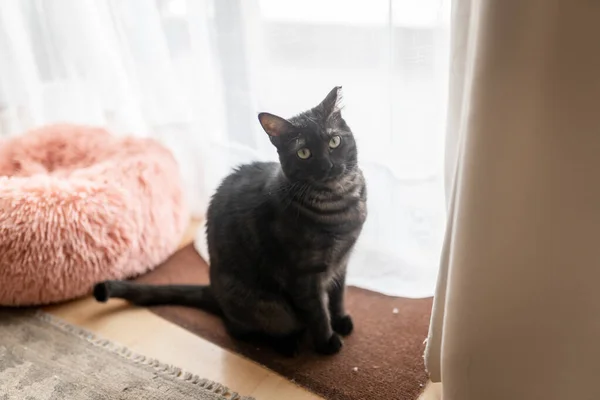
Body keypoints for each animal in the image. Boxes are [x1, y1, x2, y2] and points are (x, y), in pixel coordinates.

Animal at [94, 87, 366, 356]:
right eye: (304, 153)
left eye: (334, 142)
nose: (328, 165)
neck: (341, 203)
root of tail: (213, 289)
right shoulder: (304, 275)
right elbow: (317, 311)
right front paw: (327, 342)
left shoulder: (342, 262)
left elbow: (337, 296)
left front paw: (341, 320)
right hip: (268, 307)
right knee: (240, 329)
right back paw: (288, 344)